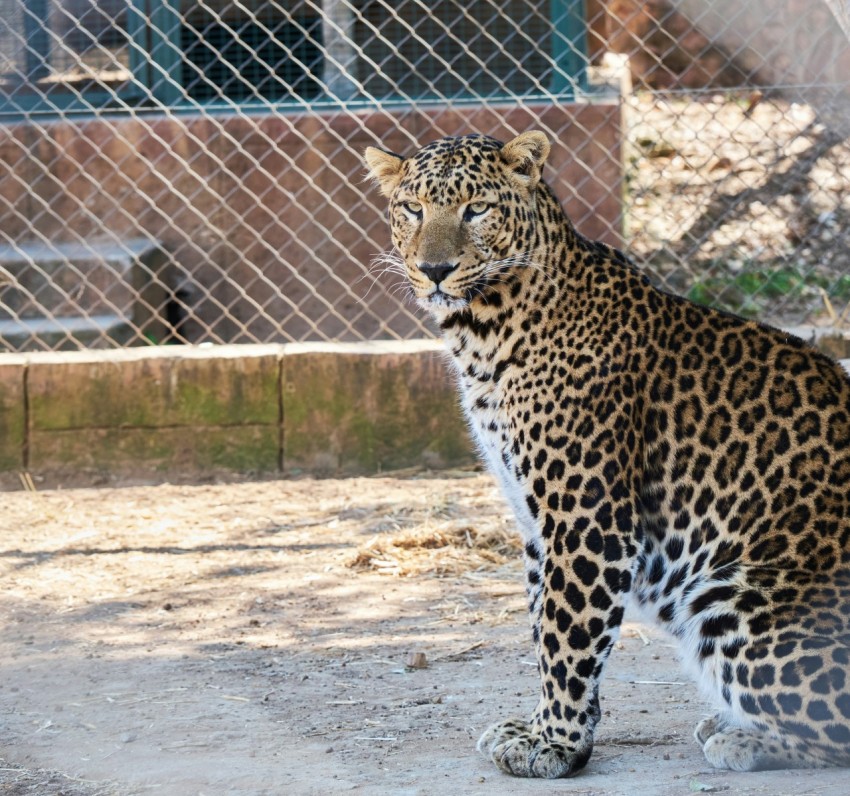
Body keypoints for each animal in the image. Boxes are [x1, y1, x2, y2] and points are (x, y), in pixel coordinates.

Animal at [362, 131, 848, 776]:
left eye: (477, 209)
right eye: (413, 210)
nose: (434, 270)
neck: (483, 331)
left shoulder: (587, 516)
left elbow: (566, 634)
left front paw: (554, 744)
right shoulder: (536, 524)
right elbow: (548, 626)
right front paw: (552, 730)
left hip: (727, 597)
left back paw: (742, 739)